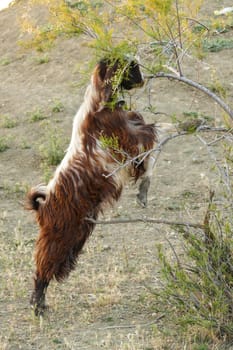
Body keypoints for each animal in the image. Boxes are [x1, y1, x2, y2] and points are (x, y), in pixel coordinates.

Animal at [27, 57, 157, 314]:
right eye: (131, 67)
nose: (143, 77)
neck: (100, 103)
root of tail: (43, 205)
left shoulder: (133, 134)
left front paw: (143, 191)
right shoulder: (129, 139)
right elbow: (153, 141)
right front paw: (143, 190)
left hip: (75, 236)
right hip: (60, 236)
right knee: (42, 268)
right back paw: (38, 304)